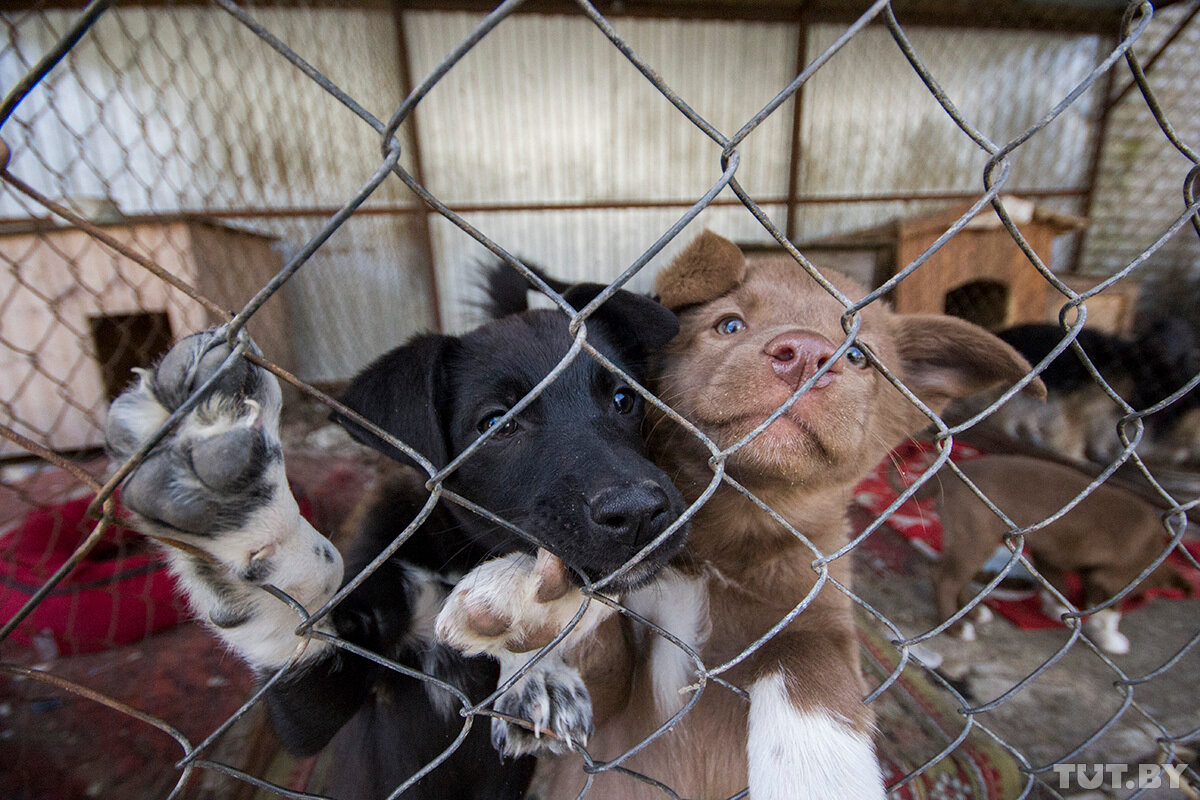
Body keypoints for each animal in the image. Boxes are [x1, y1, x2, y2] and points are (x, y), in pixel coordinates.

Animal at [106, 278, 691, 796]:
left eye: (623, 399)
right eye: (496, 423)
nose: (640, 513)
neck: (452, 556)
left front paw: (531, 646)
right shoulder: (311, 715)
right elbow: (299, 610)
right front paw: (244, 513)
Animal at [434, 232, 1041, 800]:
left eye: (858, 355)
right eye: (729, 325)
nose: (807, 353)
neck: (730, 541)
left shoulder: (824, 615)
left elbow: (809, 657)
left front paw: (819, 774)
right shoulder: (609, 713)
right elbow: (599, 639)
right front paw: (529, 602)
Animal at [926, 453, 1190, 652]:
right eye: (1134, 595)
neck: (1152, 546)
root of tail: (951, 474)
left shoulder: (1050, 555)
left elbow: (1056, 582)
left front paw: (1058, 608)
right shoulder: (1112, 579)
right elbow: (1108, 612)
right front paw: (1110, 638)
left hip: (970, 542)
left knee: (956, 576)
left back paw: (972, 613)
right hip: (975, 539)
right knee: (944, 578)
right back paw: (955, 628)